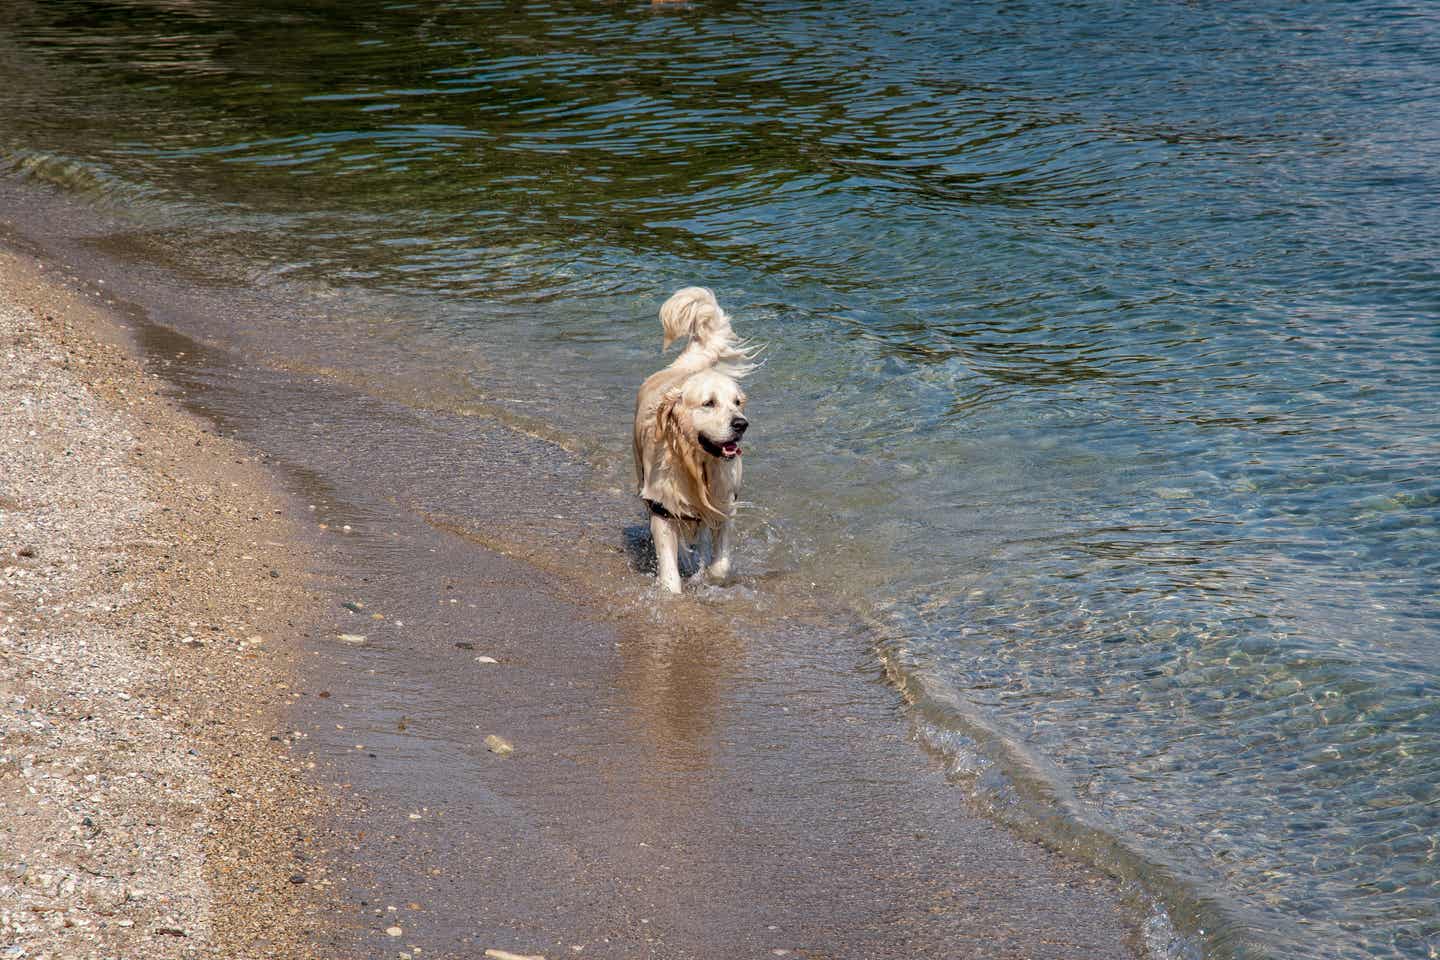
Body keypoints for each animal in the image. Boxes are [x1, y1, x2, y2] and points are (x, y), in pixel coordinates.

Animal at [636, 284, 760, 592]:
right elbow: (670, 570)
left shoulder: (725, 503)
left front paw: (710, 577)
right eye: (709, 403)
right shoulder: (663, 509)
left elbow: (720, 562)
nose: (742, 424)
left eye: (737, 402)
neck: (696, 463)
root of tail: (683, 366)